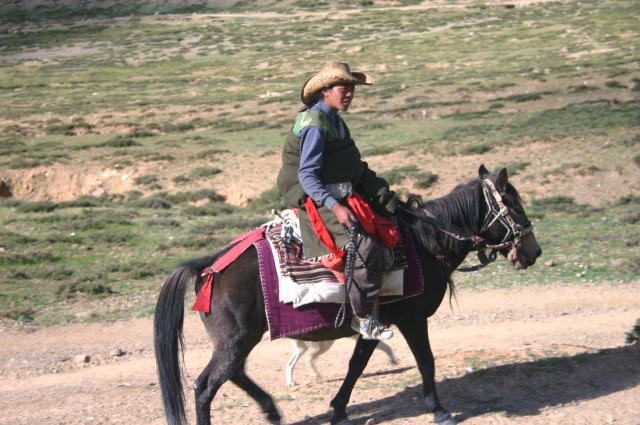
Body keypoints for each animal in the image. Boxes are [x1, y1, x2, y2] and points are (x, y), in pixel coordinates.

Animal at [154, 166, 540, 424]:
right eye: (515, 206)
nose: (533, 251)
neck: (426, 242)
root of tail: (210, 264)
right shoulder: (412, 318)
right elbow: (426, 361)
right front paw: (439, 410)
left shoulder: (374, 320)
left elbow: (357, 364)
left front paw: (338, 409)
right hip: (237, 338)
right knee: (205, 386)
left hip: (240, 338)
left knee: (231, 374)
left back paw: (272, 410)